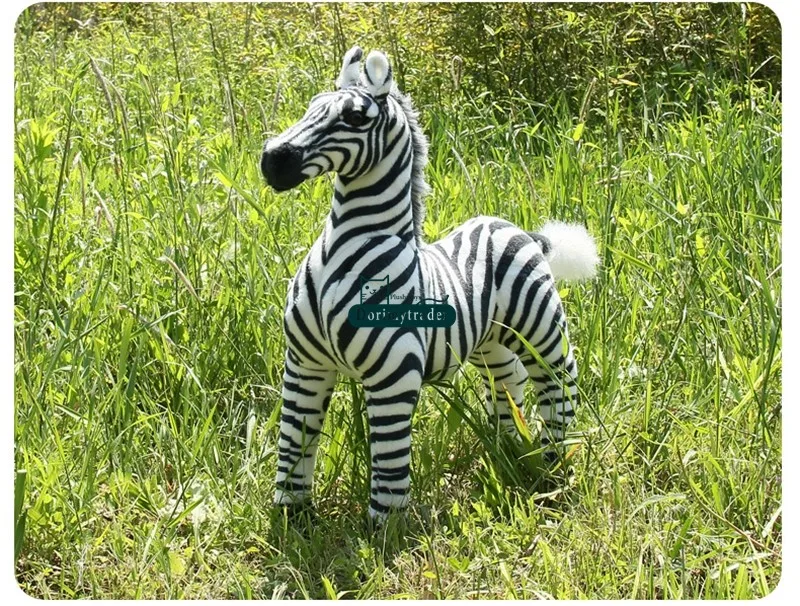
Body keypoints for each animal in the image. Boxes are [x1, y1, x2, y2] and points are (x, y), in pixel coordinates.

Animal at [260, 46, 599, 521]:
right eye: (311, 107)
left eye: (355, 118)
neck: (343, 254)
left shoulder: (393, 376)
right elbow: (295, 442)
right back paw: (510, 446)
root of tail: (521, 231)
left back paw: (552, 460)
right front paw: (293, 516)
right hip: (490, 341)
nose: (273, 161)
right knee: (507, 381)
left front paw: (384, 528)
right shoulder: (305, 364)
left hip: (540, 326)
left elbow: (388, 459)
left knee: (559, 381)